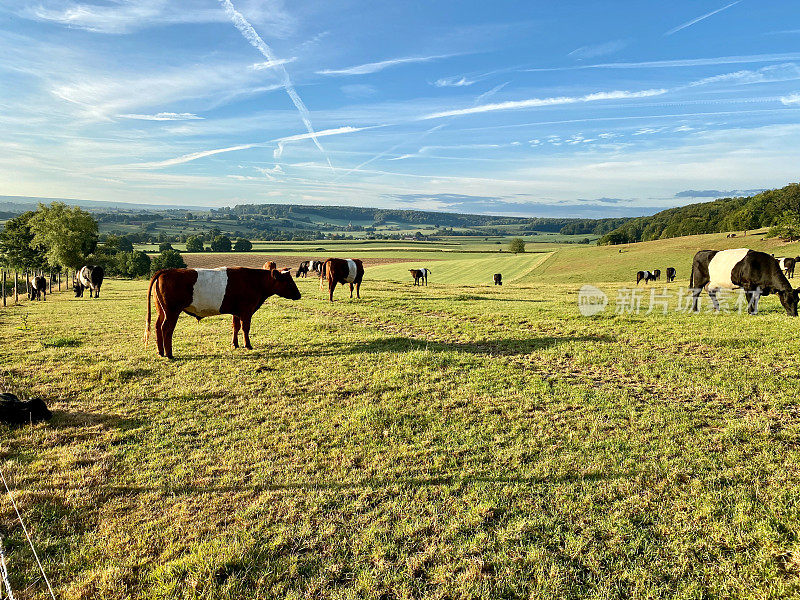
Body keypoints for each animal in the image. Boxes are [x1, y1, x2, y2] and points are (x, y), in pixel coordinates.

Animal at [144, 266, 300, 358]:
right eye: (288, 282)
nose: (299, 295)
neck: (255, 281)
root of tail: (167, 271)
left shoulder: (236, 311)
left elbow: (235, 327)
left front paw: (235, 344)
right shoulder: (246, 311)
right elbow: (245, 328)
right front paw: (248, 345)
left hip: (162, 311)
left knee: (157, 326)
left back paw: (160, 352)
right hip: (172, 311)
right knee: (166, 329)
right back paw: (169, 354)